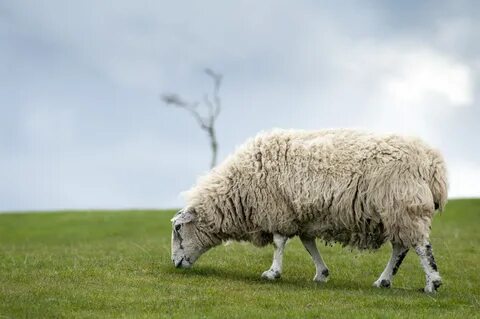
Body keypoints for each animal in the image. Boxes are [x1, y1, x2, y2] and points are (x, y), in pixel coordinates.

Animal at [171, 129, 448, 294]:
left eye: (177, 228)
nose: (175, 264)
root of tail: (433, 163)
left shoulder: (277, 210)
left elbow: (279, 243)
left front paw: (273, 273)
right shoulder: (302, 217)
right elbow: (308, 244)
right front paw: (321, 273)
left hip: (404, 206)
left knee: (421, 247)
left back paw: (432, 282)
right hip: (397, 212)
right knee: (401, 247)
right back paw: (384, 280)